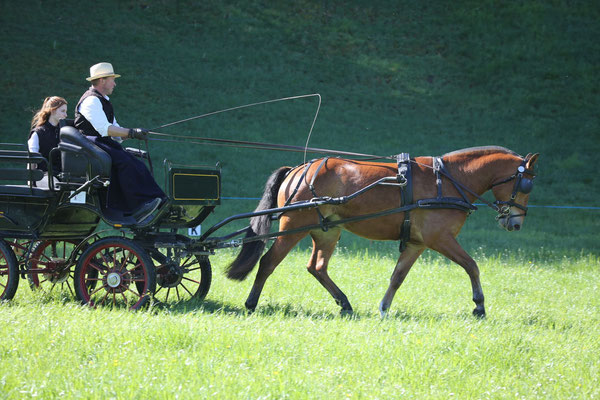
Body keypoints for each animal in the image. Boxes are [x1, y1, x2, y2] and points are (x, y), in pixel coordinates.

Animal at [225, 145, 540, 318]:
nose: (515, 223)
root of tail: (299, 169)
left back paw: (345, 303)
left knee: (317, 267)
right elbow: (472, 266)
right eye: (527, 185)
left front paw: (384, 308)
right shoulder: (440, 239)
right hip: (294, 226)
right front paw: (479, 306)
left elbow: (397, 277)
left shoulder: (416, 243)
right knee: (267, 262)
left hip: (326, 231)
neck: (448, 180)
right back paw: (251, 303)